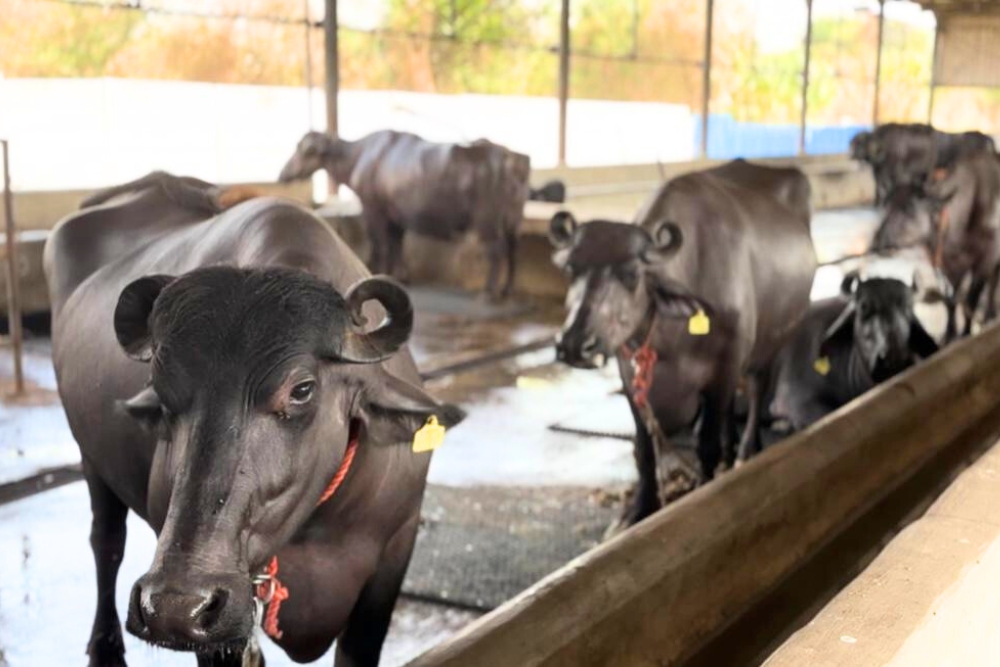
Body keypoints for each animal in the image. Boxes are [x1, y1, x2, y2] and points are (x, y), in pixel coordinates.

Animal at [44, 171, 464, 667]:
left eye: (301, 389)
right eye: (162, 394)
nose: (174, 607)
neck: (318, 527)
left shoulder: (395, 551)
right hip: (90, 457)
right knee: (107, 543)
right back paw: (104, 644)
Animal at [278, 130, 529, 300]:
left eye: (305, 150)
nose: (283, 174)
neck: (359, 157)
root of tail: (511, 159)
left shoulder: (373, 210)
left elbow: (379, 245)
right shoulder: (396, 217)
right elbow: (396, 245)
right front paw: (400, 276)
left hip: (487, 222)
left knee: (497, 252)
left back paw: (488, 292)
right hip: (513, 222)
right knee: (513, 250)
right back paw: (507, 290)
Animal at [549, 161, 816, 533]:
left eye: (631, 274)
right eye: (571, 269)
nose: (574, 344)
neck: (669, 343)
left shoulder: (724, 369)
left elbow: (706, 443)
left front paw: (703, 488)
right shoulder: (631, 378)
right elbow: (644, 450)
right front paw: (637, 511)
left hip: (771, 345)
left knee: (756, 389)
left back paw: (746, 450)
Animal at [871, 151, 1000, 340]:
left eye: (909, 211)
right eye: (885, 208)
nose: (876, 245)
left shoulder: (985, 261)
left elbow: (971, 300)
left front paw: (967, 332)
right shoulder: (948, 266)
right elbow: (950, 301)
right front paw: (949, 333)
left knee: (993, 283)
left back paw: (990, 313)